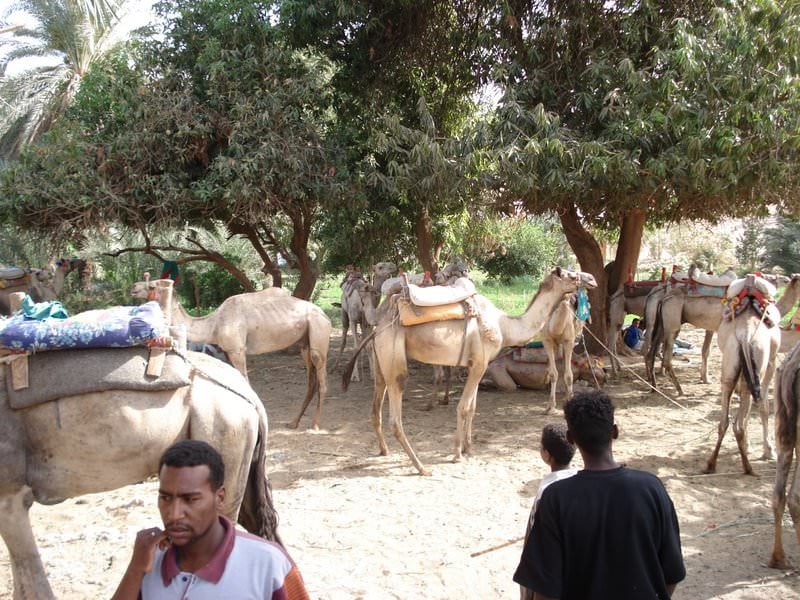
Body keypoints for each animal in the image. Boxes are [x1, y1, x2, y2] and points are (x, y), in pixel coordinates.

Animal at [133, 278, 332, 428]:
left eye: (152, 285)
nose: (133, 287)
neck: (214, 324)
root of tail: (325, 315)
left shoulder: (237, 350)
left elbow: (245, 381)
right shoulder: (228, 352)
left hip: (318, 334)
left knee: (321, 379)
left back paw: (315, 425)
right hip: (304, 345)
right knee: (311, 381)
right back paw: (293, 422)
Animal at [340, 270, 596, 476]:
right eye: (571, 276)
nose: (591, 279)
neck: (504, 326)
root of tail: (378, 326)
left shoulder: (476, 365)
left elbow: (472, 407)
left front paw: (468, 447)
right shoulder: (480, 363)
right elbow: (463, 407)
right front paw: (456, 453)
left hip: (381, 362)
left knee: (375, 408)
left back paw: (384, 451)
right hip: (394, 358)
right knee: (395, 415)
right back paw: (421, 467)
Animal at [704, 274, 780, 476]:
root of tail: (745, 336)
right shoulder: (771, 362)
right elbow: (764, 406)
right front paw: (769, 451)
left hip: (730, 365)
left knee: (725, 419)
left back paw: (711, 464)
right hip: (756, 365)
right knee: (740, 419)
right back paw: (748, 467)